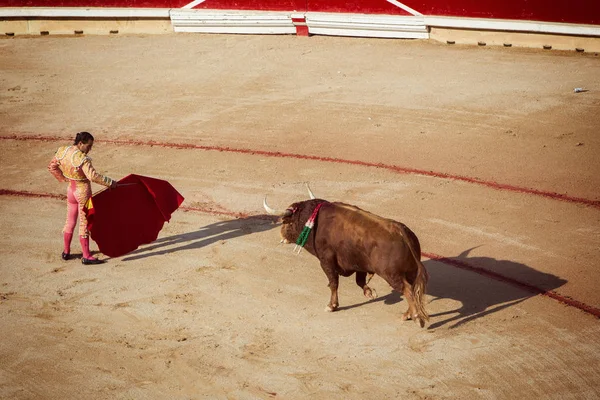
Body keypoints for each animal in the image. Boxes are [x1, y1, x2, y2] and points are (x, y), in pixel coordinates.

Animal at [264, 186, 428, 326]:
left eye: (287, 223)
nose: (281, 236)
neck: (313, 221)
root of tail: (401, 231)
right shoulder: (359, 265)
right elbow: (359, 281)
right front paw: (370, 293)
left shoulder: (326, 261)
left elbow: (333, 283)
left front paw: (332, 306)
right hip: (409, 272)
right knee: (412, 289)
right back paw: (407, 314)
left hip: (391, 275)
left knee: (407, 290)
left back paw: (416, 318)